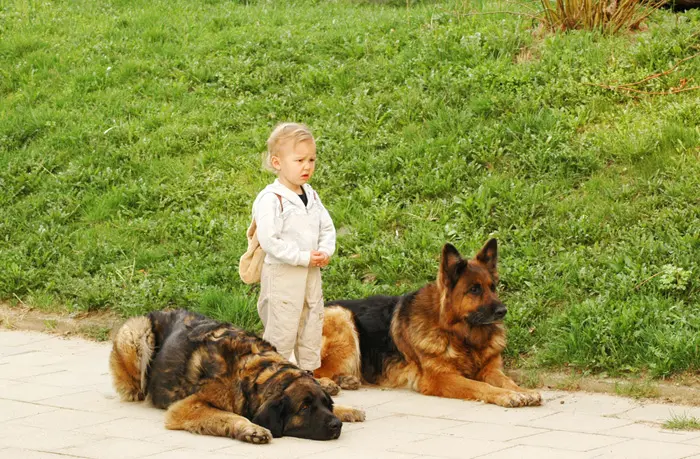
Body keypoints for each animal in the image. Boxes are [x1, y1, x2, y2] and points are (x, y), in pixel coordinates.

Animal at [109, 310, 366, 444]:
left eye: (324, 405)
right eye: (304, 408)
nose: (336, 425)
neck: (256, 373)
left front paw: (344, 409)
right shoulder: (186, 407)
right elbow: (228, 416)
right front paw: (251, 429)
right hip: (137, 333)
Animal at [316, 241, 540, 410]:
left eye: (492, 287)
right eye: (474, 289)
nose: (503, 311)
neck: (459, 335)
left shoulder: (490, 370)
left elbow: (507, 381)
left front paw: (523, 391)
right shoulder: (441, 378)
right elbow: (481, 387)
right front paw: (507, 396)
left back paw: (344, 380)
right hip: (342, 318)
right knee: (313, 370)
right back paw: (328, 385)